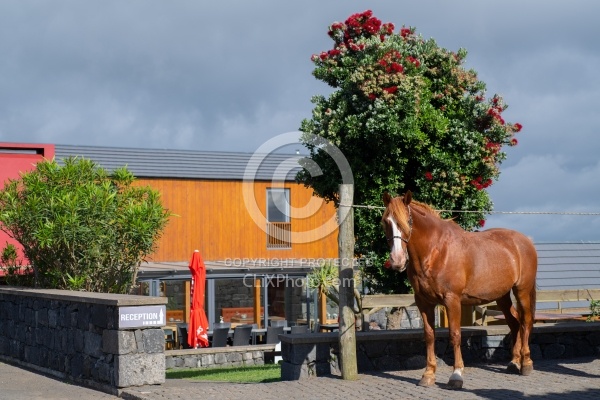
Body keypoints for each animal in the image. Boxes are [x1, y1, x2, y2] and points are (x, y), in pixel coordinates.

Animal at [384, 192, 540, 390]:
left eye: (408, 221)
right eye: (386, 221)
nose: (397, 260)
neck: (436, 252)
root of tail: (525, 241)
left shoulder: (452, 300)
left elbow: (455, 334)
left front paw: (456, 375)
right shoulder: (423, 302)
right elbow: (429, 335)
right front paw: (428, 374)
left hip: (522, 291)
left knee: (526, 321)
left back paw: (526, 363)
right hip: (502, 296)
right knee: (515, 323)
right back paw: (513, 362)